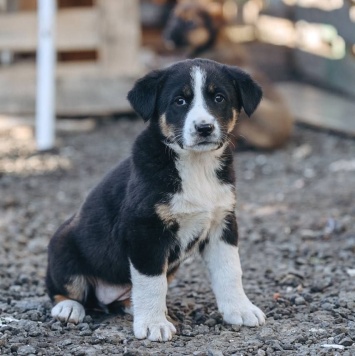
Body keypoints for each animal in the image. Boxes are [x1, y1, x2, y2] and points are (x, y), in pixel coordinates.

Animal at [46, 58, 266, 342]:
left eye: (219, 98)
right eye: (179, 101)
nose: (204, 128)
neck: (197, 166)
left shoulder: (222, 223)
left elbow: (229, 272)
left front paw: (240, 309)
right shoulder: (145, 231)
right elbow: (151, 282)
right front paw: (153, 324)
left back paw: (131, 305)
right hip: (63, 245)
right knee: (62, 288)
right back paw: (69, 308)